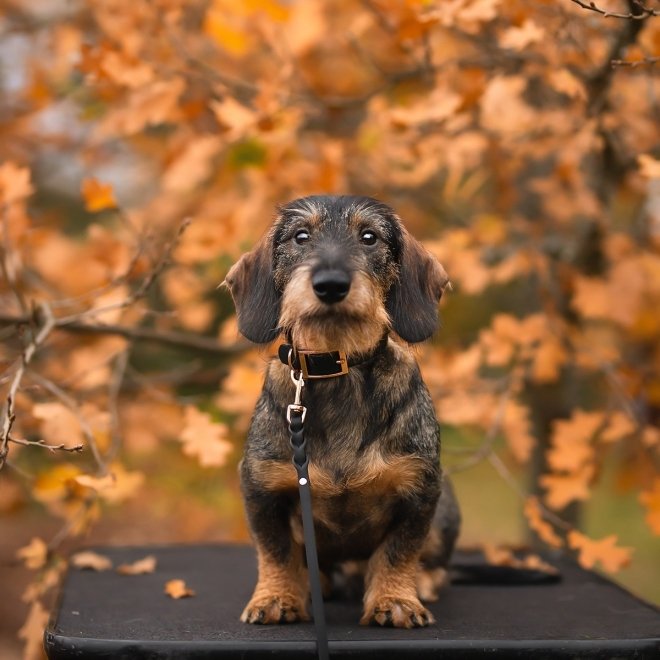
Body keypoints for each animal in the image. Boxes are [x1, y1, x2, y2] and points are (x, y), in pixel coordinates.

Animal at [224, 196, 462, 628]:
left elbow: (399, 552)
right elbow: (276, 551)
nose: (331, 285)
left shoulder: (421, 490)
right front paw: (277, 597)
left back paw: (423, 582)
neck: (337, 367)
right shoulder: (261, 487)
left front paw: (395, 600)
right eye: (301, 236)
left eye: (369, 237)